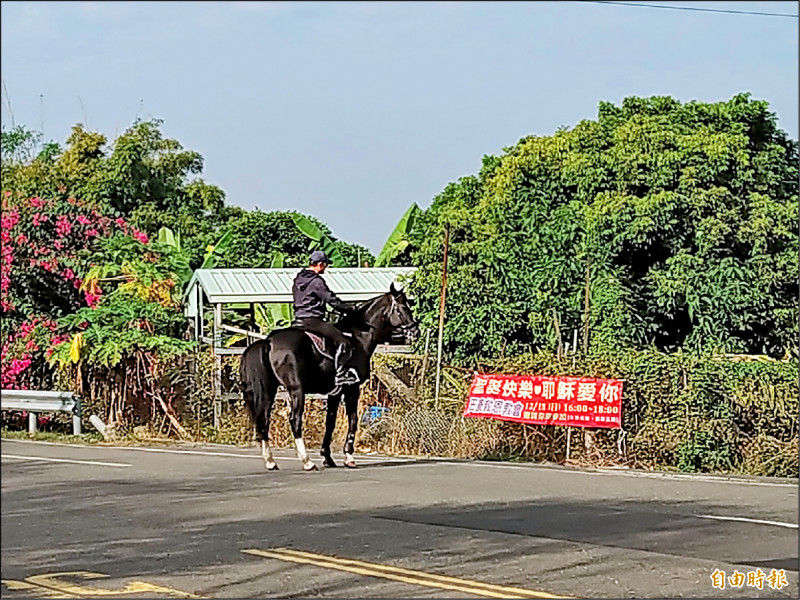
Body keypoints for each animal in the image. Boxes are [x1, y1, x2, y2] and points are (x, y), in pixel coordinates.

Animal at [241, 284, 418, 472]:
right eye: (403, 308)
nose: (416, 331)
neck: (358, 338)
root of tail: (269, 342)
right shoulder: (351, 388)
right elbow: (353, 419)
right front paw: (349, 457)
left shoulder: (335, 392)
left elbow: (330, 422)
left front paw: (327, 457)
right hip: (296, 390)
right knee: (295, 420)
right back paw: (307, 461)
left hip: (270, 390)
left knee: (264, 420)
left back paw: (271, 461)